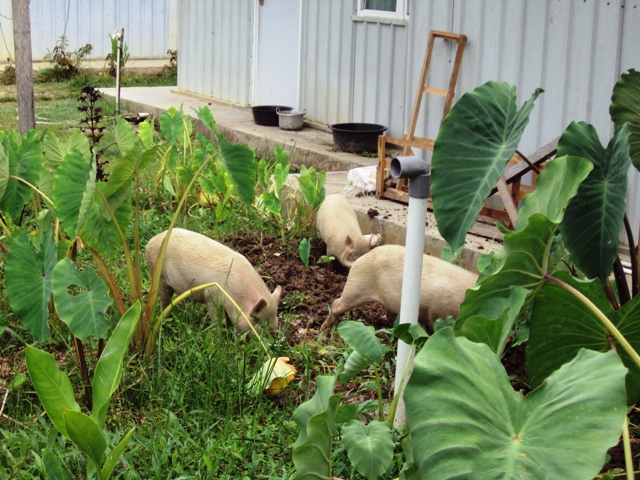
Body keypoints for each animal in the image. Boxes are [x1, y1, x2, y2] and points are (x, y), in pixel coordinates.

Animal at [149, 229, 284, 334]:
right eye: (260, 324)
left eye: (275, 320)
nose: (272, 341)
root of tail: (151, 241)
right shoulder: (211, 295)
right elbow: (215, 318)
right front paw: (217, 333)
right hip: (158, 276)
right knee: (164, 299)